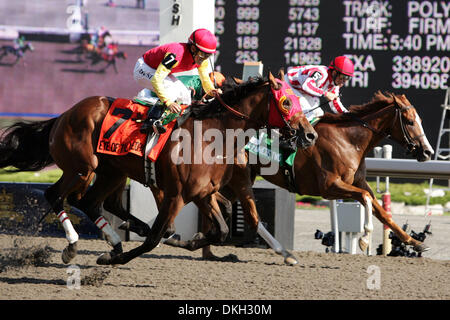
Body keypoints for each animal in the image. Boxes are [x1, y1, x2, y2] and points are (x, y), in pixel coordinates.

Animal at [0, 71, 318, 264]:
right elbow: (154, 239)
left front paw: (189, 241)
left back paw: (116, 237)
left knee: (91, 201)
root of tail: (65, 113)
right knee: (56, 195)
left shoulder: (203, 194)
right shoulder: (176, 195)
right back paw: (74, 244)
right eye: (286, 102)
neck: (210, 135)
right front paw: (115, 259)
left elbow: (223, 228)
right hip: (82, 166)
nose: (310, 135)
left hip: (111, 171)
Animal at [167, 91, 434, 262]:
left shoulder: (357, 182)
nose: (428, 152)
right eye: (410, 121)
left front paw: (414, 242)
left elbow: (381, 211)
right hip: (238, 178)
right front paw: (364, 240)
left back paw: (206, 249)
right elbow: (367, 201)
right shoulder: (330, 186)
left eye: (420, 120)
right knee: (234, 211)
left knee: (218, 205)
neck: (349, 140)